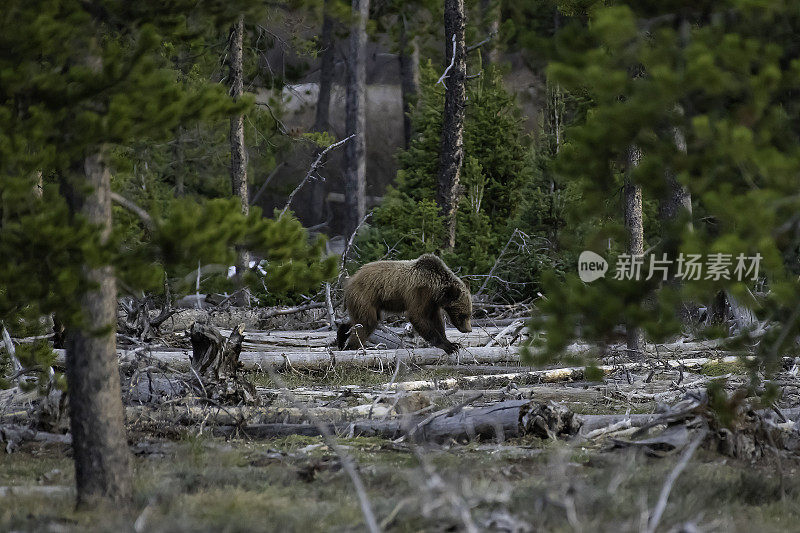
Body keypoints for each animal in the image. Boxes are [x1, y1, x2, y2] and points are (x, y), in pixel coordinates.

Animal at [336, 254, 472, 354]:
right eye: (464, 315)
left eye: (469, 314)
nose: (468, 329)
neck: (435, 289)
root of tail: (349, 282)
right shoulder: (419, 293)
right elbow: (418, 316)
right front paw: (448, 346)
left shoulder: (432, 303)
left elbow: (436, 320)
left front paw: (453, 343)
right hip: (365, 296)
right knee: (367, 322)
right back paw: (352, 346)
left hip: (372, 303)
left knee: (361, 320)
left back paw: (342, 336)